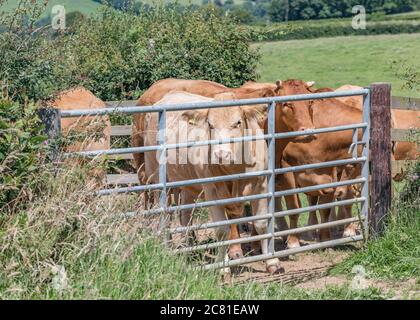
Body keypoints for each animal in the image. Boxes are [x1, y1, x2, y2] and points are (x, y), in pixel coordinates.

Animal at [142, 91, 282, 274]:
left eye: (238, 122)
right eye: (210, 124)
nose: (221, 154)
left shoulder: (261, 184)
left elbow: (261, 223)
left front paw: (272, 261)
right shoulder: (212, 190)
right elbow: (222, 230)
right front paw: (222, 267)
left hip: (189, 184)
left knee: (185, 215)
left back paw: (191, 248)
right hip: (158, 176)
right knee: (165, 215)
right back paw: (169, 247)